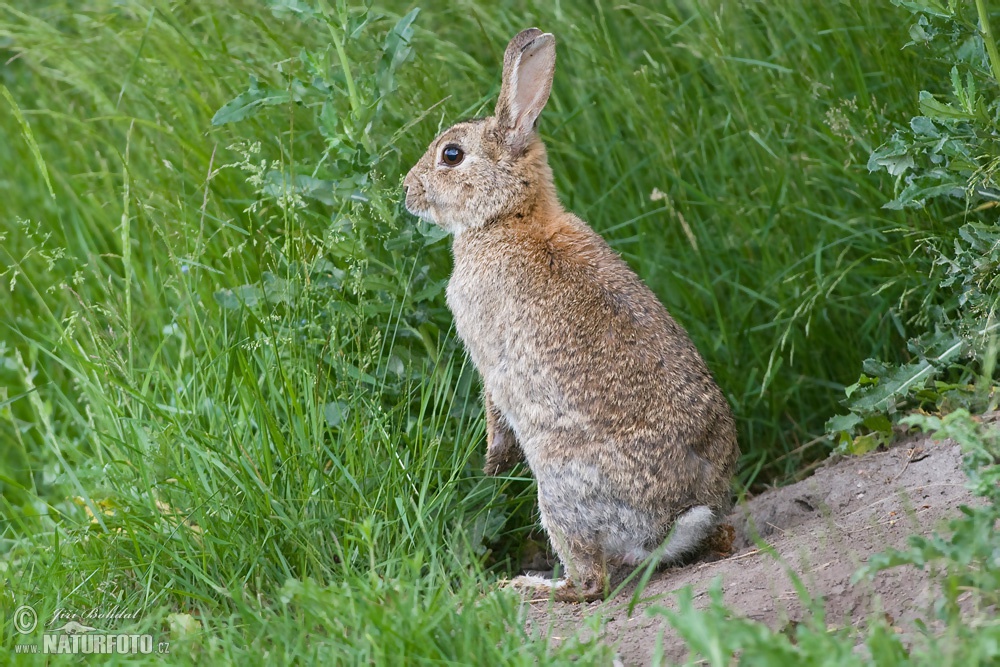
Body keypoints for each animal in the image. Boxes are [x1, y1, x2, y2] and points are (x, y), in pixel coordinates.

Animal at [402, 26, 740, 604]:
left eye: (452, 154)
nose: (406, 190)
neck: (509, 217)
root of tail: (672, 521)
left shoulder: (487, 353)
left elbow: (494, 407)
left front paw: (492, 461)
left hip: (560, 489)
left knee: (589, 583)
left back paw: (528, 586)